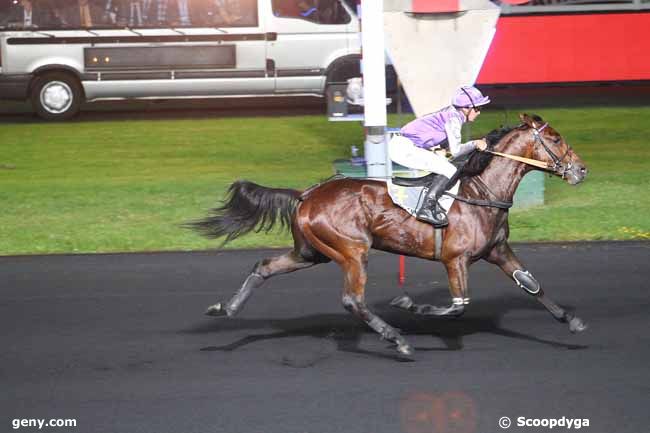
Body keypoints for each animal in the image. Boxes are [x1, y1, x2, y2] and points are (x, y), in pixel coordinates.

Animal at [186, 113, 588, 356]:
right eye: (555, 138)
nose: (581, 169)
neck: (481, 191)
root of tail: (307, 193)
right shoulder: (454, 258)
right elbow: (458, 305)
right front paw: (411, 305)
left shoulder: (498, 250)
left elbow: (532, 285)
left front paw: (572, 320)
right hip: (352, 250)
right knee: (353, 300)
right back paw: (397, 339)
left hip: (311, 252)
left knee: (265, 266)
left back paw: (226, 307)